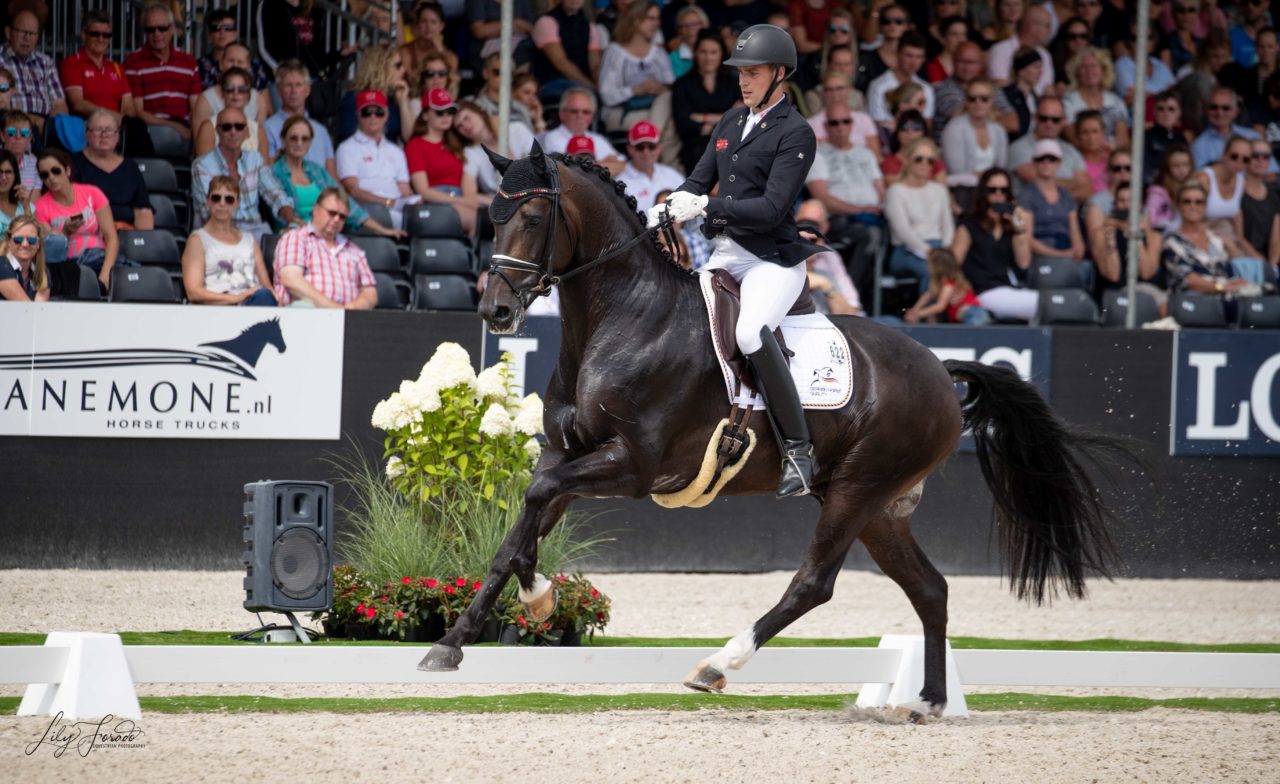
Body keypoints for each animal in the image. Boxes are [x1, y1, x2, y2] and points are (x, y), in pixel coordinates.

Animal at [419, 148, 1131, 722]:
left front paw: (530, 603)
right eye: (491, 216)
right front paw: (463, 638)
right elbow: (519, 530)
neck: (624, 318)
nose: (495, 311)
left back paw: (717, 665)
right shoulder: (570, 456)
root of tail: (938, 366)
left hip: (857, 491)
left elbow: (534, 503)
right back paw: (927, 702)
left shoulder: (633, 466)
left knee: (813, 583)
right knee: (930, 588)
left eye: (534, 217)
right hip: (879, 509)